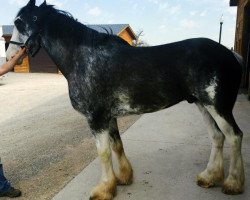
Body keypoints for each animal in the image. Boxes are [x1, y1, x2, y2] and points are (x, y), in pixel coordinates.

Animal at [6, 0, 245, 199]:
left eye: (19, 22)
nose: (9, 56)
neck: (83, 58)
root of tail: (232, 55)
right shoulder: (108, 117)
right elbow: (117, 145)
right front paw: (122, 178)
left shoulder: (96, 118)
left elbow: (103, 153)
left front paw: (103, 189)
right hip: (204, 105)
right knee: (217, 137)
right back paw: (208, 177)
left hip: (218, 107)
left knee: (234, 136)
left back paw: (233, 184)